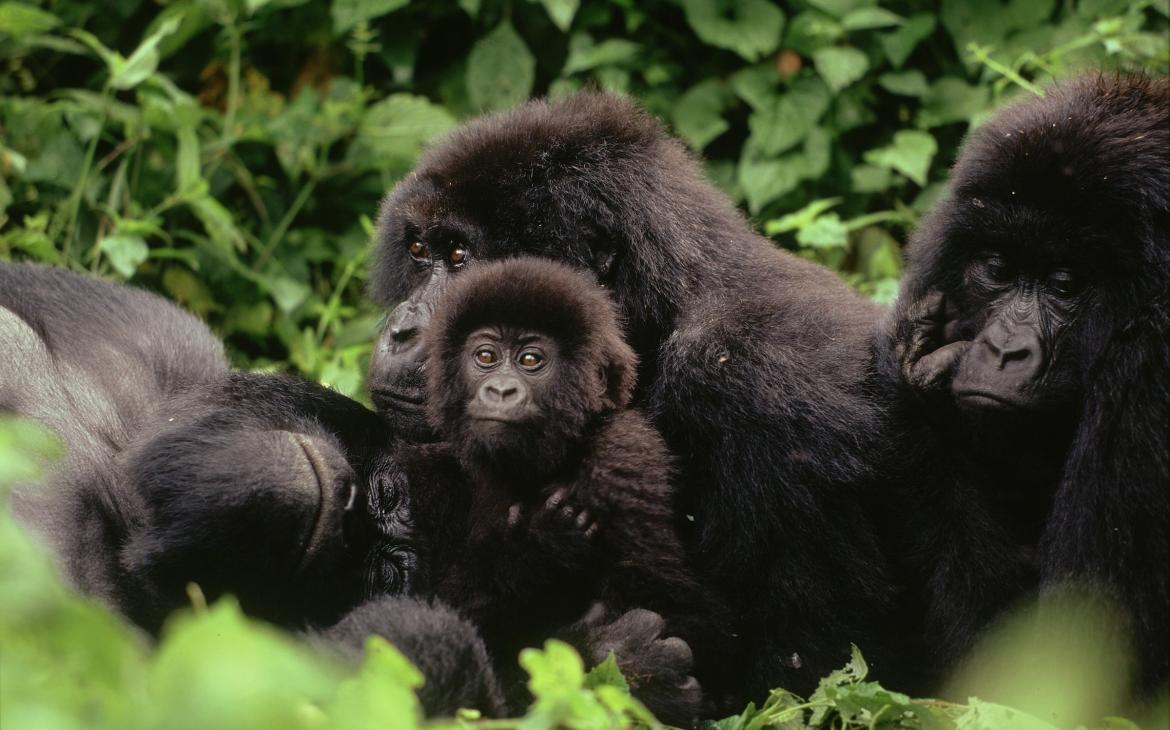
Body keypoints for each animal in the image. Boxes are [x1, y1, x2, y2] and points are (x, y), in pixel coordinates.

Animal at [407, 258, 725, 725]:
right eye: (485, 357)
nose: (500, 390)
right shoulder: (423, 473)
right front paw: (534, 551)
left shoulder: (624, 454)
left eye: (531, 360)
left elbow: (691, 617)